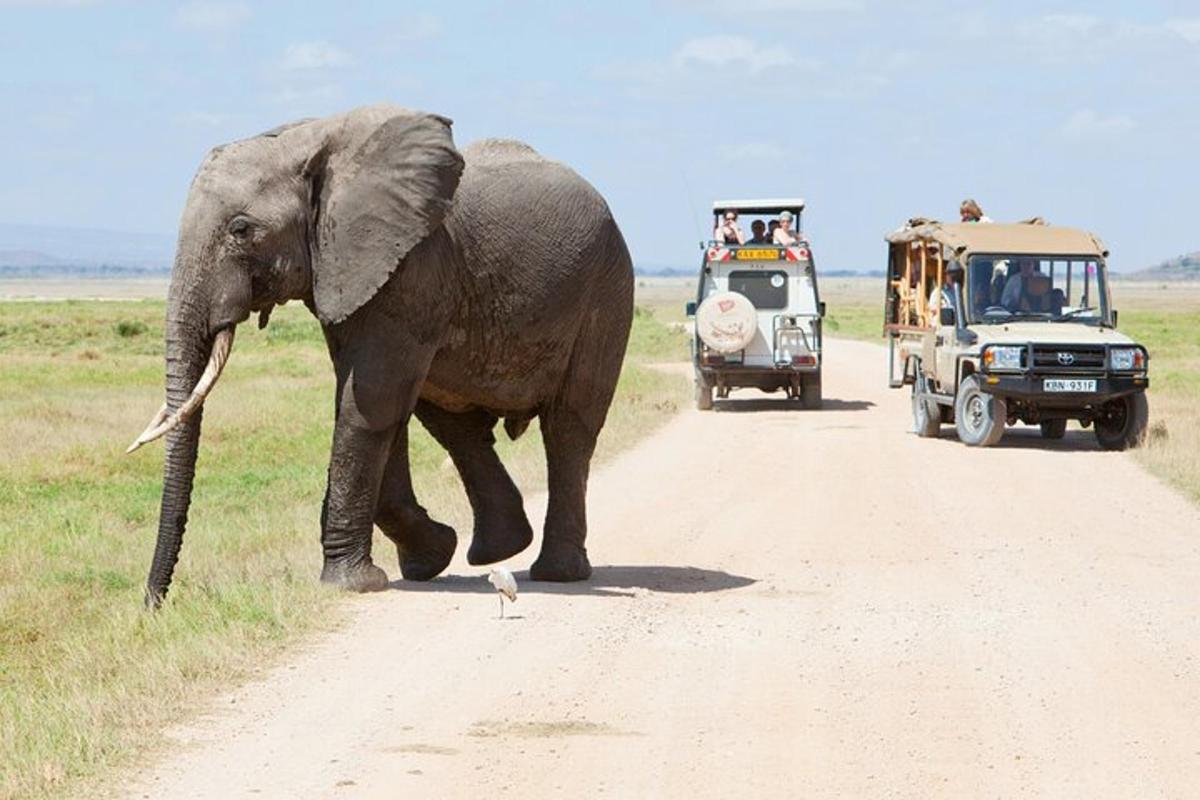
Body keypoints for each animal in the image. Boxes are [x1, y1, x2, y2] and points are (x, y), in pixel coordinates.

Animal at [127, 104, 638, 606]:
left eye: (241, 229)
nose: (155, 603)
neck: (311, 141)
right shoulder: (349, 269)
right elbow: (371, 402)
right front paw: (427, 560)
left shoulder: (412, 268)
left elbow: (370, 401)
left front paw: (350, 584)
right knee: (455, 425)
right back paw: (495, 551)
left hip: (607, 291)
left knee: (568, 427)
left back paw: (558, 573)